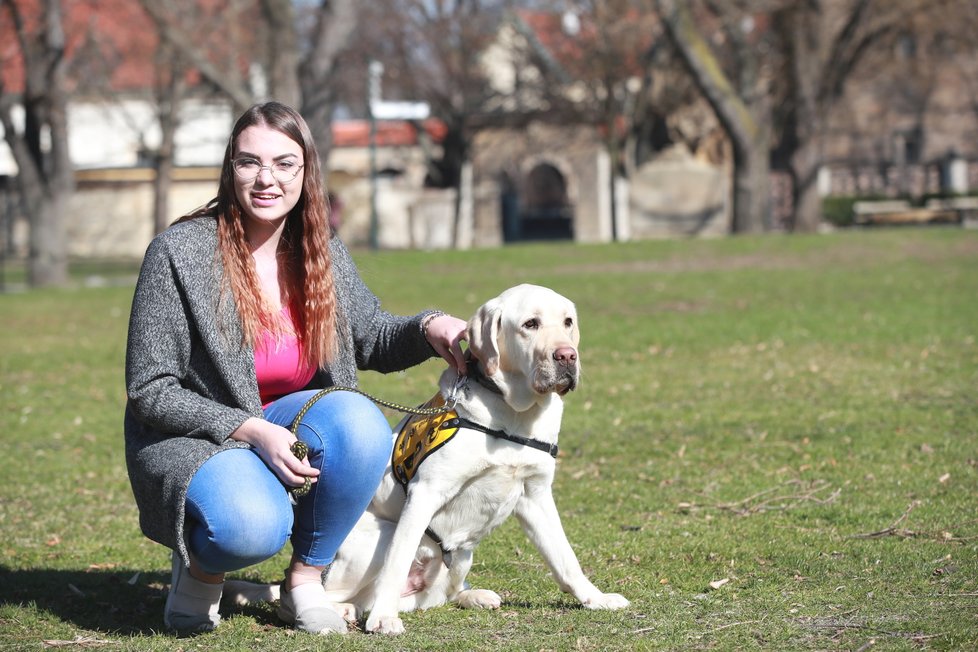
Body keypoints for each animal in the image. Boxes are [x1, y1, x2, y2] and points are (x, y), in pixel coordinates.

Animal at [226, 284, 628, 632]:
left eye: (568, 322)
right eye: (530, 324)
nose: (567, 356)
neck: (514, 414)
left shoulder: (535, 495)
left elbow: (565, 558)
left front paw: (595, 598)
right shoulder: (426, 492)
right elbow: (396, 562)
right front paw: (383, 620)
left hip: (461, 557)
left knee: (436, 594)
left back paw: (473, 596)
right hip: (381, 537)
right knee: (327, 593)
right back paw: (341, 609)